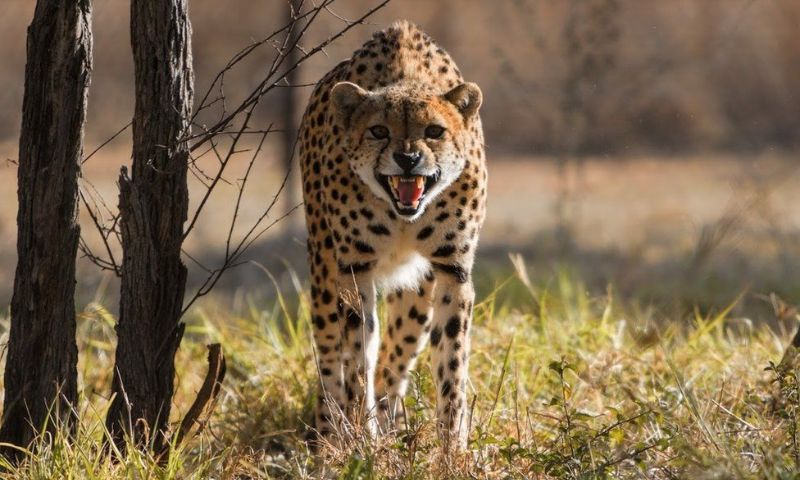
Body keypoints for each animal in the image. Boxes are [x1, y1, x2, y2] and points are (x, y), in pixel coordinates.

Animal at [300, 17, 488, 446]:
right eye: (379, 131)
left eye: (434, 130)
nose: (408, 158)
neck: (404, 216)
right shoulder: (355, 270)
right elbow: (357, 361)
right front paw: (362, 441)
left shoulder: (452, 270)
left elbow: (451, 364)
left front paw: (453, 445)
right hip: (324, 270)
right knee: (330, 358)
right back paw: (330, 437)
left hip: (417, 294)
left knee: (396, 356)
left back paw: (389, 420)